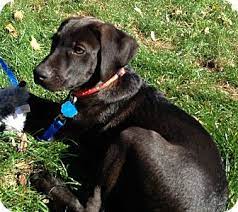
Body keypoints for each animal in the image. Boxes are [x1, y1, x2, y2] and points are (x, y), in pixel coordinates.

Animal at [25, 17, 227, 212]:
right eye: (54, 41)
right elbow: (32, 100)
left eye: (79, 50)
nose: (38, 73)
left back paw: (46, 180)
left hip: (134, 135)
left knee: (93, 207)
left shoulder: (64, 127)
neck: (103, 85)